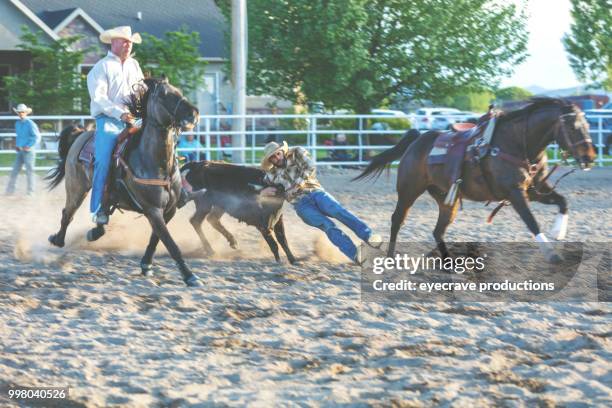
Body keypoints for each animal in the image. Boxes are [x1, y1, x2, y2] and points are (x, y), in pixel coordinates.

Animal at [46, 76, 203, 286]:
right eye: (164, 95)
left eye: (179, 91)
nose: (194, 113)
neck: (155, 163)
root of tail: (81, 134)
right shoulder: (153, 210)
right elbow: (170, 243)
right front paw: (190, 276)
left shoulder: (168, 210)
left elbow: (156, 238)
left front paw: (146, 264)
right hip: (77, 188)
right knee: (67, 214)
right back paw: (58, 239)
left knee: (101, 213)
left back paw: (94, 231)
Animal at [356, 99, 596, 262]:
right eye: (573, 127)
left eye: (588, 125)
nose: (590, 157)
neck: (517, 143)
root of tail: (418, 138)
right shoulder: (515, 192)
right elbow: (532, 222)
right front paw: (551, 254)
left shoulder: (535, 190)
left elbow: (563, 202)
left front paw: (558, 232)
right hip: (409, 190)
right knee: (397, 219)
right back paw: (390, 257)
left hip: (447, 199)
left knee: (437, 231)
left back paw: (449, 264)